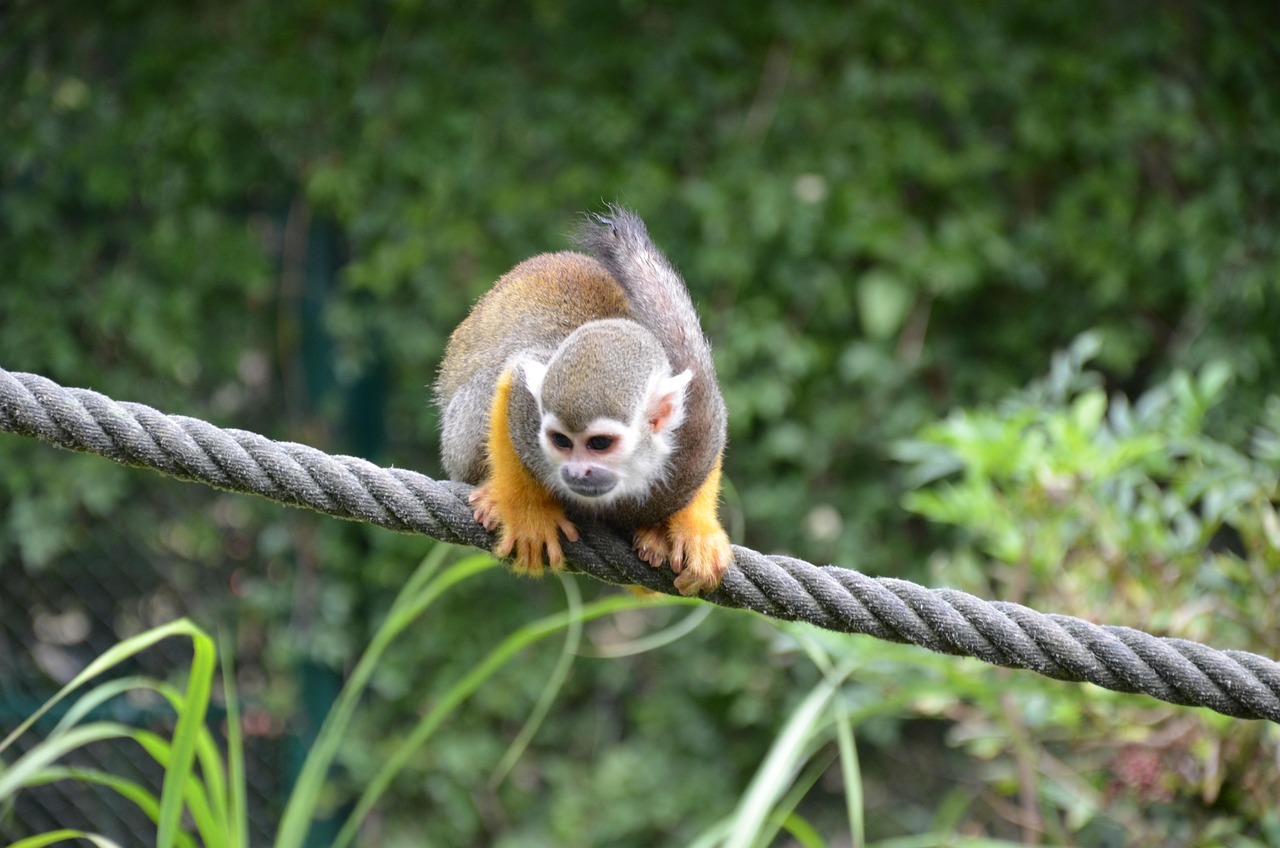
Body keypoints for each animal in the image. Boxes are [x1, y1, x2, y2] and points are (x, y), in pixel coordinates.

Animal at [434, 207, 731, 595]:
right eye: (561, 441)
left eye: (600, 444)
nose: (577, 471)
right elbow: (515, 379)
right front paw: (527, 511)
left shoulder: (696, 417)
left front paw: (695, 529)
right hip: (458, 440)